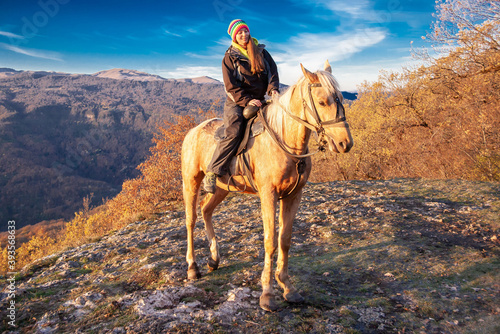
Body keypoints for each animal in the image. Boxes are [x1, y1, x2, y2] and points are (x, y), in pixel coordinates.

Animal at [182, 59, 354, 310]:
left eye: (340, 98)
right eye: (322, 101)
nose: (345, 143)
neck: (286, 142)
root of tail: (192, 131)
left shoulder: (293, 195)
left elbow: (285, 240)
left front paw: (288, 287)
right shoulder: (268, 195)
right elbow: (270, 241)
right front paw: (267, 293)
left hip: (222, 188)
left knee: (206, 210)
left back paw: (214, 259)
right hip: (191, 181)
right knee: (191, 220)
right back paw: (192, 267)